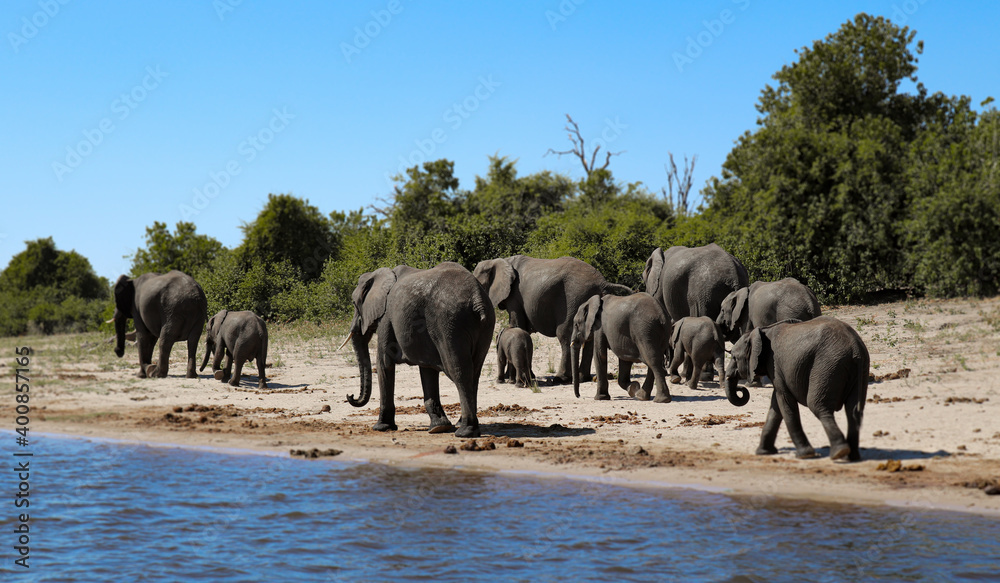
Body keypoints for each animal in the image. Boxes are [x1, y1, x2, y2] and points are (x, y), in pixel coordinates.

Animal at [346, 262, 494, 438]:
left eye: (354, 304)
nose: (350, 395)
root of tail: (476, 297)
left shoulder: (386, 318)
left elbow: (384, 363)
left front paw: (381, 427)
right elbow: (427, 370)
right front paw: (439, 427)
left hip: (449, 323)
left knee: (459, 371)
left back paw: (465, 431)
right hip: (484, 324)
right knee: (475, 372)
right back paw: (463, 425)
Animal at [473, 255, 632, 385]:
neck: (498, 261)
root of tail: (602, 282)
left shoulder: (514, 296)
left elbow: (516, 324)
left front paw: (509, 377)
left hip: (574, 297)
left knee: (565, 335)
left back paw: (561, 379)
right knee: (588, 337)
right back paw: (582, 378)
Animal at [724, 316, 870, 461]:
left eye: (734, 358)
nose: (741, 389)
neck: (762, 331)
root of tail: (855, 348)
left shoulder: (774, 364)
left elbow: (784, 401)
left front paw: (805, 455)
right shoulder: (777, 370)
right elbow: (776, 404)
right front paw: (763, 452)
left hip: (827, 365)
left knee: (817, 405)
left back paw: (839, 452)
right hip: (859, 368)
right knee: (853, 411)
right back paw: (851, 457)